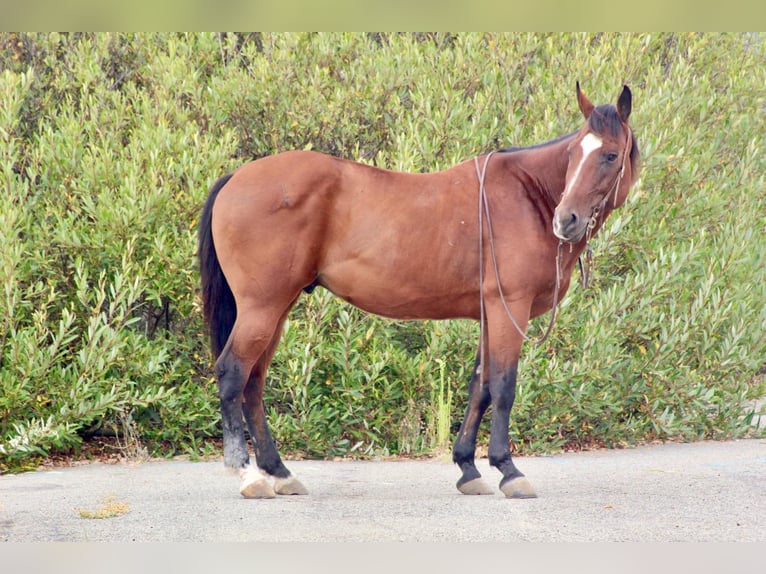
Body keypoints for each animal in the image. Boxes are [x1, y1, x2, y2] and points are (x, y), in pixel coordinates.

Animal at [198, 82, 639, 499]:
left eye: (609, 155)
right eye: (574, 155)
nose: (566, 220)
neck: (527, 195)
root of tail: (237, 177)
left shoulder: (489, 313)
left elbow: (479, 386)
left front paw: (468, 468)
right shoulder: (508, 308)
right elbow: (503, 385)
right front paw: (508, 470)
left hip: (277, 308)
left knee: (254, 383)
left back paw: (280, 472)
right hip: (262, 307)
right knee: (233, 373)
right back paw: (247, 474)